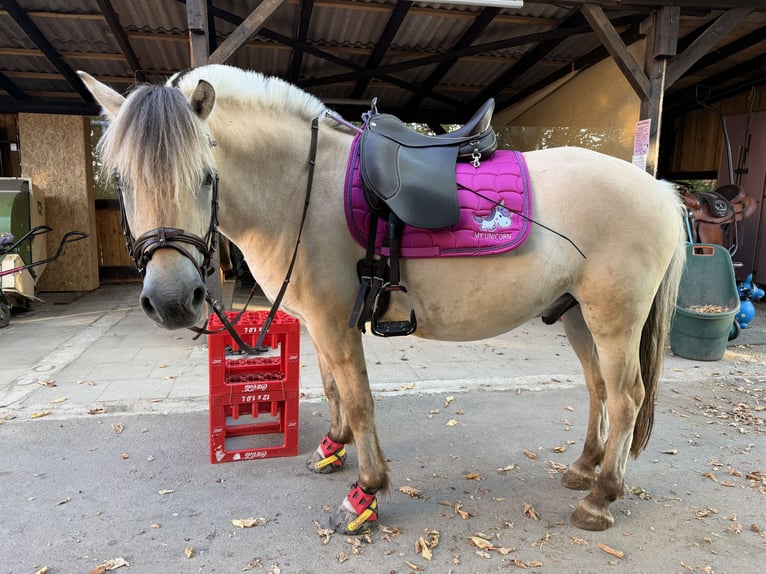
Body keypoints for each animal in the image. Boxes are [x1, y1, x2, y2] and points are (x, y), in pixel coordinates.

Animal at [78, 64, 686, 534]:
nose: (173, 301)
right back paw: (584, 468)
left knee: (627, 396)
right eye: (121, 180)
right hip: (577, 315)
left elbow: (359, 397)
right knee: (597, 387)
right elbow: (332, 390)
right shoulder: (317, 323)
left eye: (207, 176)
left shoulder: (336, 322)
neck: (301, 186)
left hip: (614, 319)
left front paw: (366, 493)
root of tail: (659, 189)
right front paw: (332, 447)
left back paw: (601, 497)